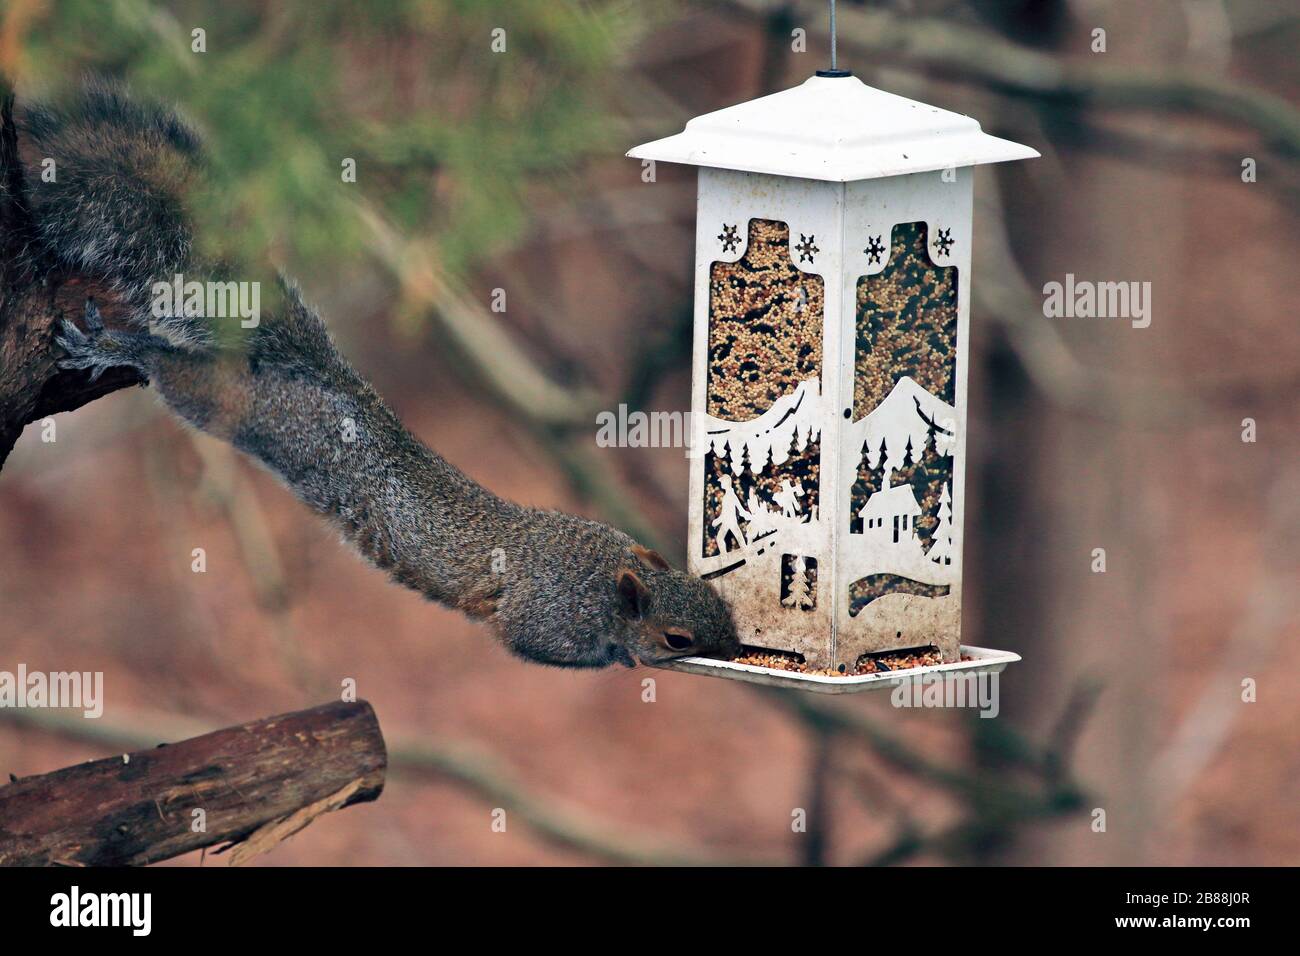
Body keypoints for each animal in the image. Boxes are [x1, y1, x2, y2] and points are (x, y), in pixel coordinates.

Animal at [21, 80, 740, 669]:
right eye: (677, 637)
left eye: (719, 602)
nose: (737, 648)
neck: (606, 576)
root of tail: (333, 388)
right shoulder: (546, 621)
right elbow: (540, 643)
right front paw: (629, 657)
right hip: (236, 405)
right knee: (173, 371)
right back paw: (116, 346)